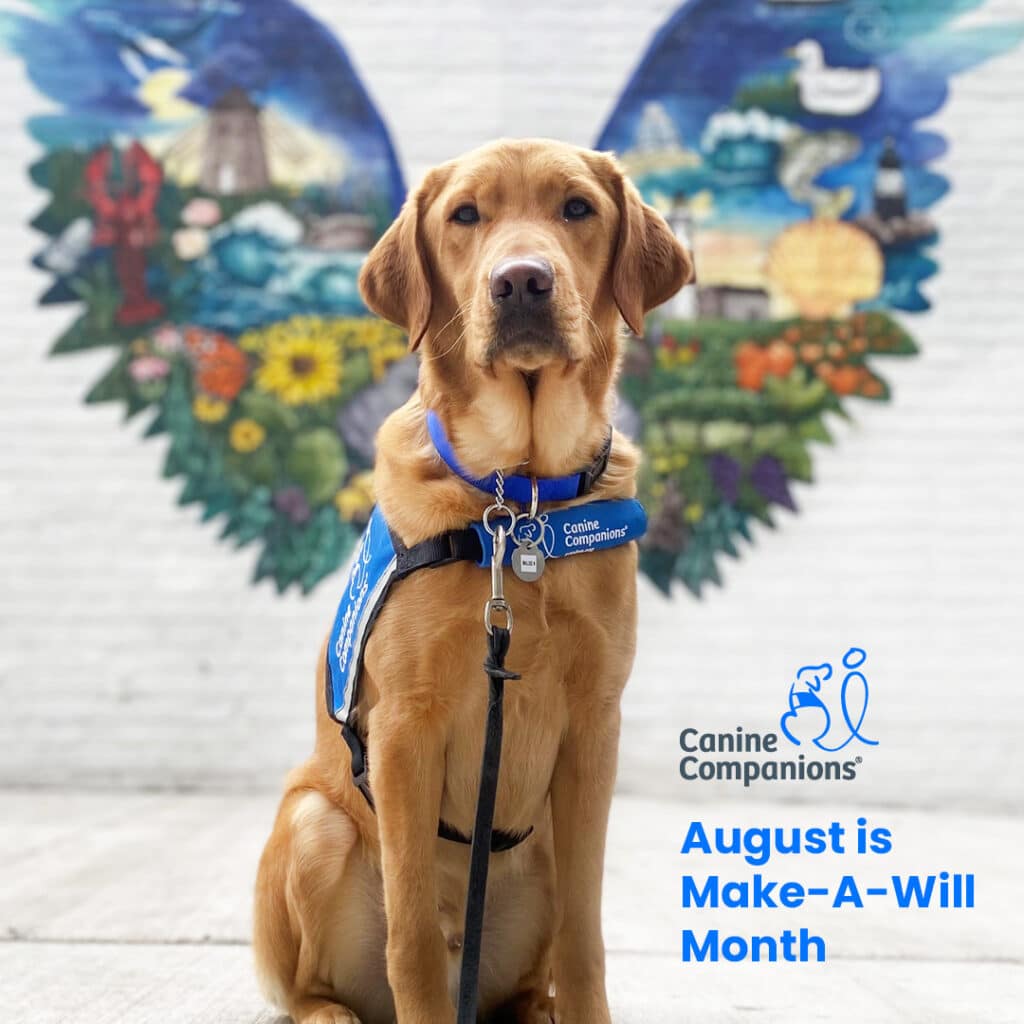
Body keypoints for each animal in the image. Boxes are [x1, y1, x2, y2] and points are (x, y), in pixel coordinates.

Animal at [251, 138, 692, 1024]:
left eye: (577, 208)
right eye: (465, 216)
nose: (522, 280)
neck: (518, 502)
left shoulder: (595, 727)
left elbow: (586, 937)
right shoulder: (403, 729)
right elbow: (413, 936)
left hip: (545, 846)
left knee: (533, 972)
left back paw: (532, 1007)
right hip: (315, 823)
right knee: (314, 985)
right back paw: (332, 1012)